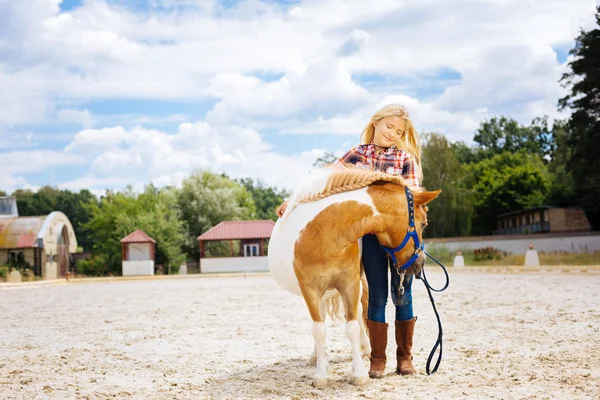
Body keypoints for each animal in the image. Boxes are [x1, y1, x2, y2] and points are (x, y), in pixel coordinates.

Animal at [268, 166, 440, 388]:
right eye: (423, 223)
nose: (419, 264)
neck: (323, 234)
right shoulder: (310, 290)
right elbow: (319, 330)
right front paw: (321, 375)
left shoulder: (350, 285)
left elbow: (352, 326)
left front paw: (359, 374)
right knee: (321, 321)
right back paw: (317, 357)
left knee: (358, 318)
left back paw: (365, 349)